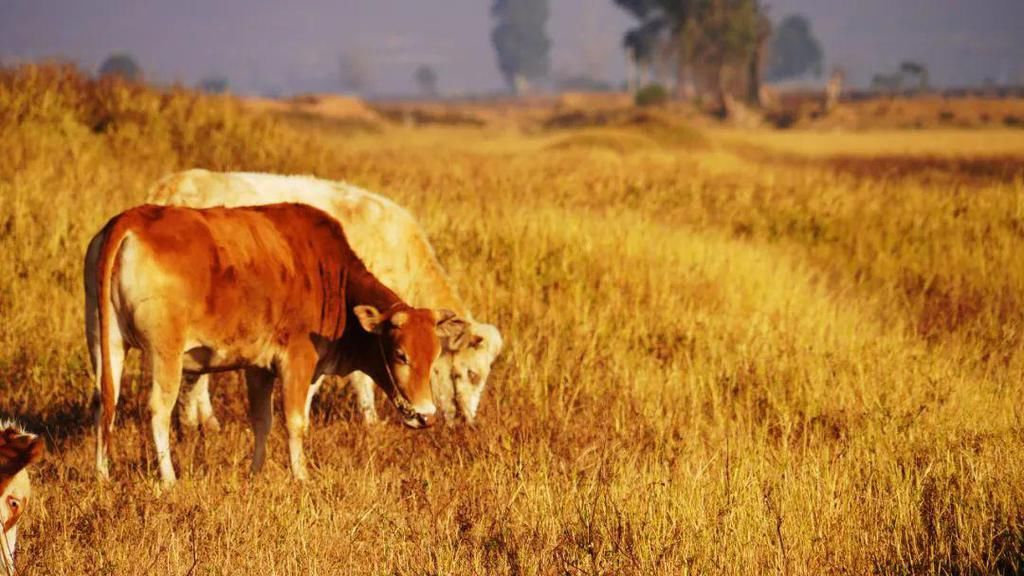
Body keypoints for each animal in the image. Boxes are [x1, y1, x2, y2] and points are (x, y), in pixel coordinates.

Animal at [86, 203, 462, 481]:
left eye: (434, 359)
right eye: (400, 355)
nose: (427, 416)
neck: (334, 278)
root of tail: (133, 218)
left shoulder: (259, 368)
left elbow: (262, 421)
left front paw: (256, 472)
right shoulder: (297, 360)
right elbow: (295, 422)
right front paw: (302, 477)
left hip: (106, 346)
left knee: (106, 403)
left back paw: (103, 475)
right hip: (167, 354)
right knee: (158, 411)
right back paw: (169, 479)